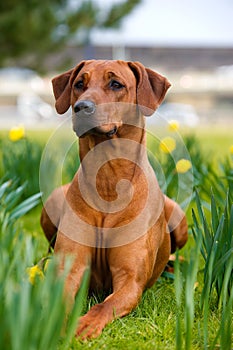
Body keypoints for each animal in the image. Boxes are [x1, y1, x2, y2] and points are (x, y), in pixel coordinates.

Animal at [40, 60, 187, 340]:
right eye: (79, 84)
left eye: (116, 84)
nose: (82, 107)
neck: (107, 180)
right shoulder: (70, 268)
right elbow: (59, 297)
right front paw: (53, 324)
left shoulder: (130, 279)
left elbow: (104, 305)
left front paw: (85, 324)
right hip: (53, 201)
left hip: (177, 215)